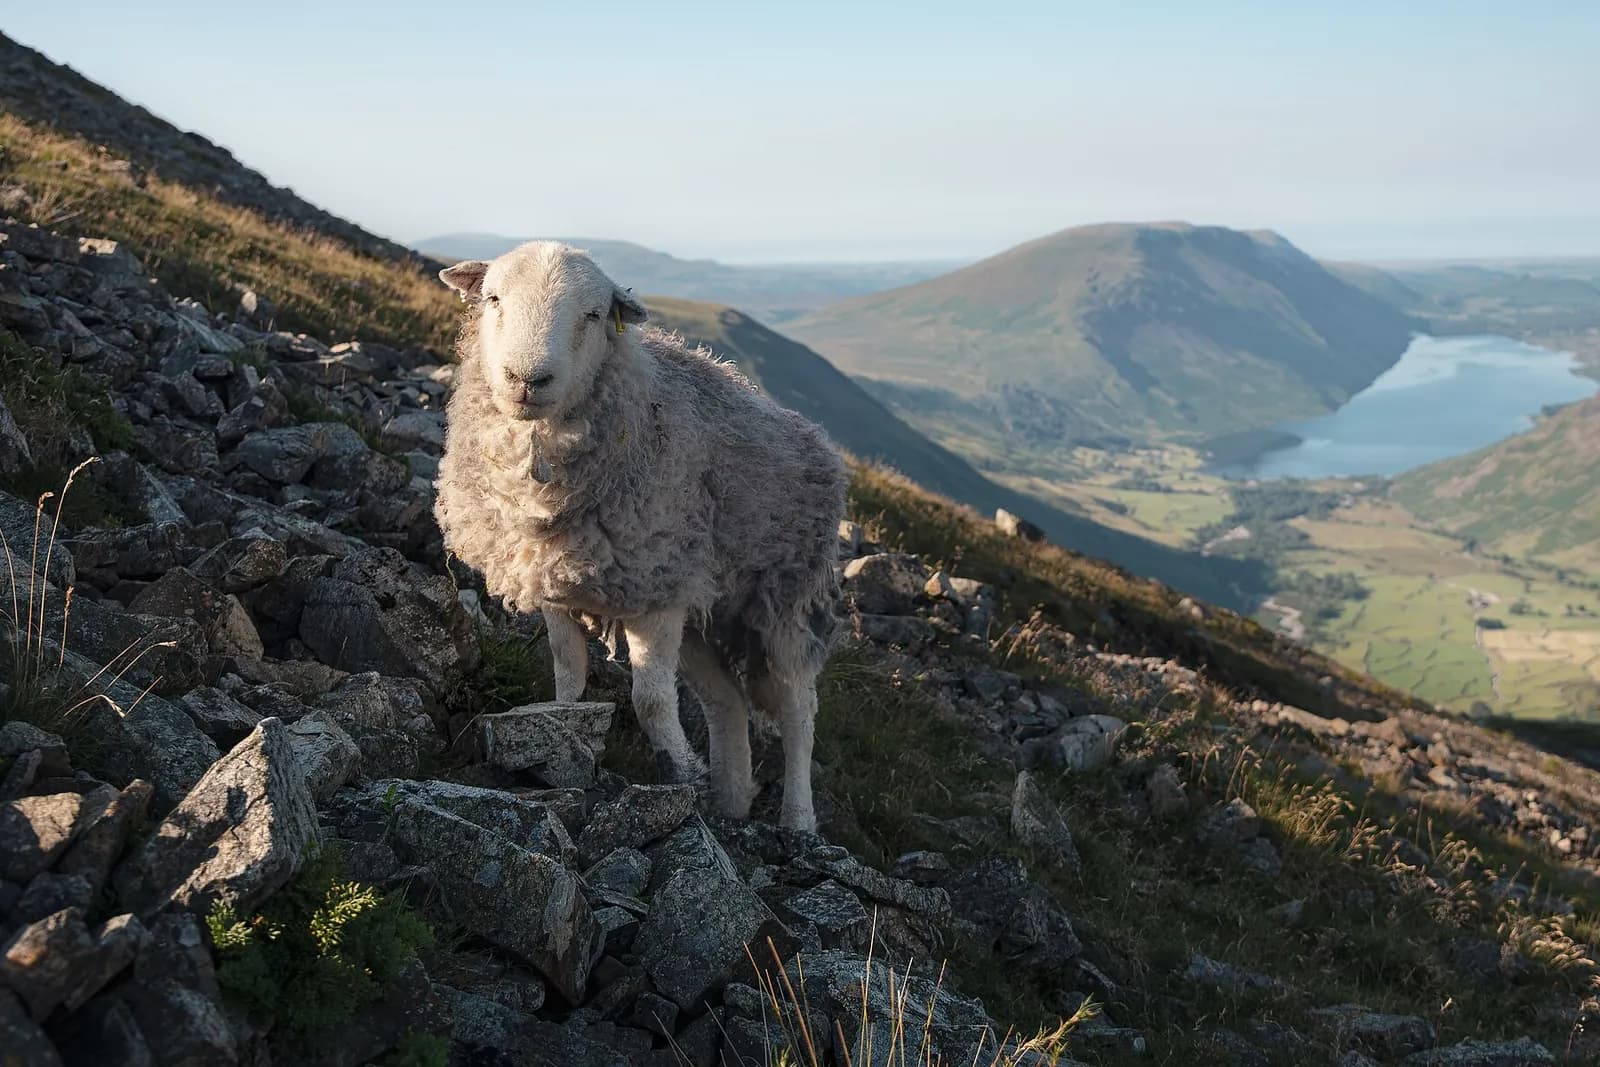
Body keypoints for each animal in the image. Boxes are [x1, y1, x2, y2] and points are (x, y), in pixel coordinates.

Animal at [434, 241, 847, 830]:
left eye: (592, 314)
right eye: (492, 298)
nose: (525, 379)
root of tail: (818, 439)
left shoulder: (656, 594)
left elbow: (650, 700)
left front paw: (678, 774)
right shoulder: (559, 580)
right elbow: (567, 679)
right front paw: (565, 736)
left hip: (784, 597)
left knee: (798, 710)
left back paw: (796, 820)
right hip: (701, 604)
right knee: (727, 701)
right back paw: (730, 800)